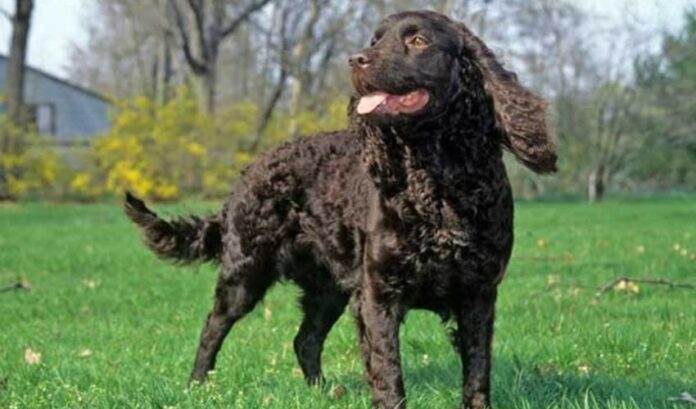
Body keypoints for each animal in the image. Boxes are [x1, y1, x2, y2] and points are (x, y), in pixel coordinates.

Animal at [123, 9, 556, 408]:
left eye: (418, 40)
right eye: (375, 39)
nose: (355, 59)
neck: (435, 183)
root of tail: (248, 173)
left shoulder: (478, 294)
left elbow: (478, 373)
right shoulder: (379, 294)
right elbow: (388, 373)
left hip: (328, 286)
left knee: (305, 339)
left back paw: (322, 392)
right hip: (246, 272)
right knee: (213, 327)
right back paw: (197, 386)